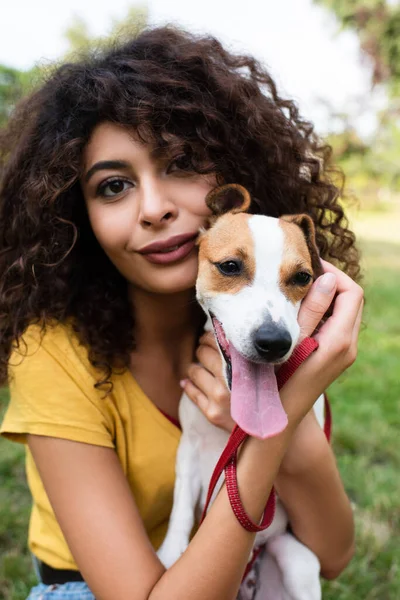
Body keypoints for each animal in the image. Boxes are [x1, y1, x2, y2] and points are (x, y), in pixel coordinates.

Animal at [156, 185, 324, 596]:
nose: (274, 342)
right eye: (230, 266)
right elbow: (181, 506)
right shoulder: (189, 447)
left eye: (302, 276)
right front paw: (170, 552)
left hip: (299, 564)